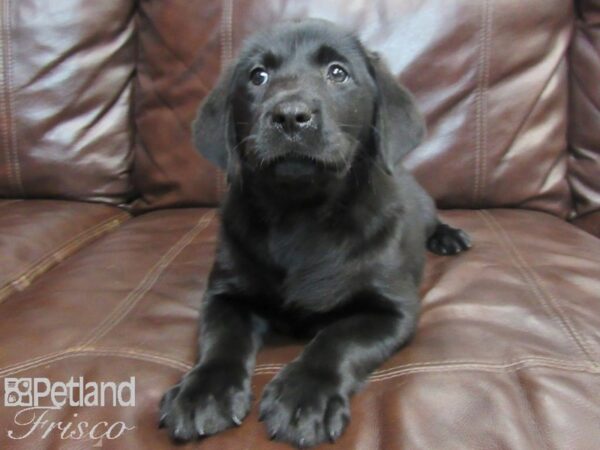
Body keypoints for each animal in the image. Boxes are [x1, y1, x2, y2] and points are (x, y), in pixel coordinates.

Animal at [162, 17, 472, 446]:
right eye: (258, 76)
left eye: (337, 73)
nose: (291, 116)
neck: (301, 213)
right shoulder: (225, 294)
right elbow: (220, 338)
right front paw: (203, 392)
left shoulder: (393, 309)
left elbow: (338, 338)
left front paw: (305, 395)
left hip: (425, 206)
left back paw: (448, 236)